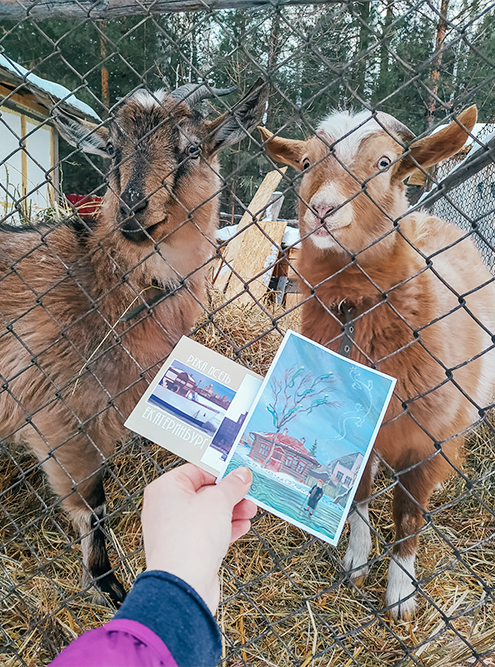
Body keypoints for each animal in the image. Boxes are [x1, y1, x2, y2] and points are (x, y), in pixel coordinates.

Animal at [0, 81, 268, 608]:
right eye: (113, 151)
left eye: (191, 150)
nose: (131, 208)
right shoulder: (62, 417)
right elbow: (93, 508)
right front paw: (108, 586)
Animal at [260, 105, 495, 620]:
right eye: (305, 163)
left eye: (385, 163)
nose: (323, 209)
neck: (354, 310)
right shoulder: (359, 432)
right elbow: (360, 496)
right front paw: (356, 561)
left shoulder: (426, 440)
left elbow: (408, 516)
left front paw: (401, 594)